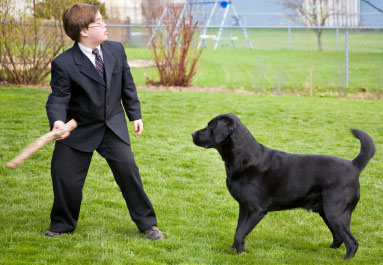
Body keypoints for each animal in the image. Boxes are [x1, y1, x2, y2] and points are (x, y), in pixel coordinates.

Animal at [192, 113, 376, 258]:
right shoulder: (243, 207)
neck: (244, 158)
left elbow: (240, 233)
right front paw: (234, 252)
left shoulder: (256, 210)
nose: (193, 133)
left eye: (210, 126)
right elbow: (238, 230)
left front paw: (241, 254)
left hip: (335, 212)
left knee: (352, 242)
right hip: (327, 212)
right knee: (339, 237)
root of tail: (354, 165)